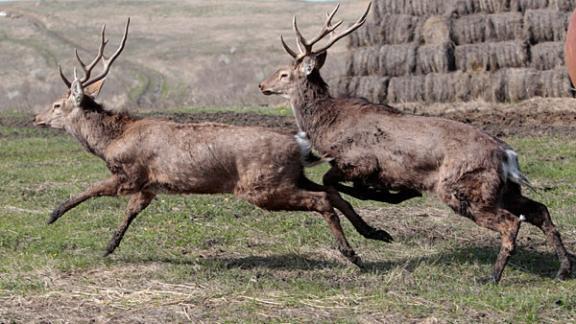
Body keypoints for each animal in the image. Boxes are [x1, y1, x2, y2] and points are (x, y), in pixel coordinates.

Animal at [32, 18, 404, 266]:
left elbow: (91, 189)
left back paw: (351, 254)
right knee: (333, 193)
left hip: (261, 186)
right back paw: (375, 233)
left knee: (323, 200)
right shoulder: (150, 186)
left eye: (57, 105)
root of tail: (300, 144)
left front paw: (53, 214)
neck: (112, 140)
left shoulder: (130, 174)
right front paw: (109, 247)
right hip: (287, 178)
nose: (36, 118)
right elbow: (130, 213)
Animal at [258, 2, 572, 282]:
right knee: (540, 210)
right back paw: (563, 269)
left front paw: (381, 213)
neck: (327, 123)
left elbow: (334, 183)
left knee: (511, 222)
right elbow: (347, 189)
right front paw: (384, 212)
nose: (262, 85)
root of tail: (508, 156)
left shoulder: (360, 160)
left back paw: (491, 277)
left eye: (284, 73)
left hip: (464, 188)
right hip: (504, 189)